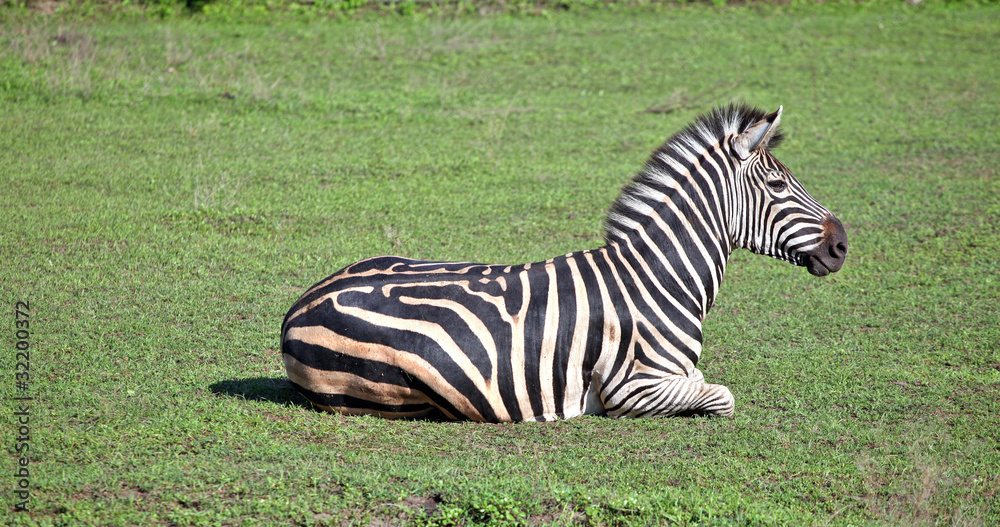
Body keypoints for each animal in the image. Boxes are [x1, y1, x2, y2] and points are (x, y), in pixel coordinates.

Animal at [280, 103, 848, 422]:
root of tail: (298, 307)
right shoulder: (630, 387)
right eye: (777, 185)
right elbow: (722, 397)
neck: (658, 278)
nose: (842, 244)